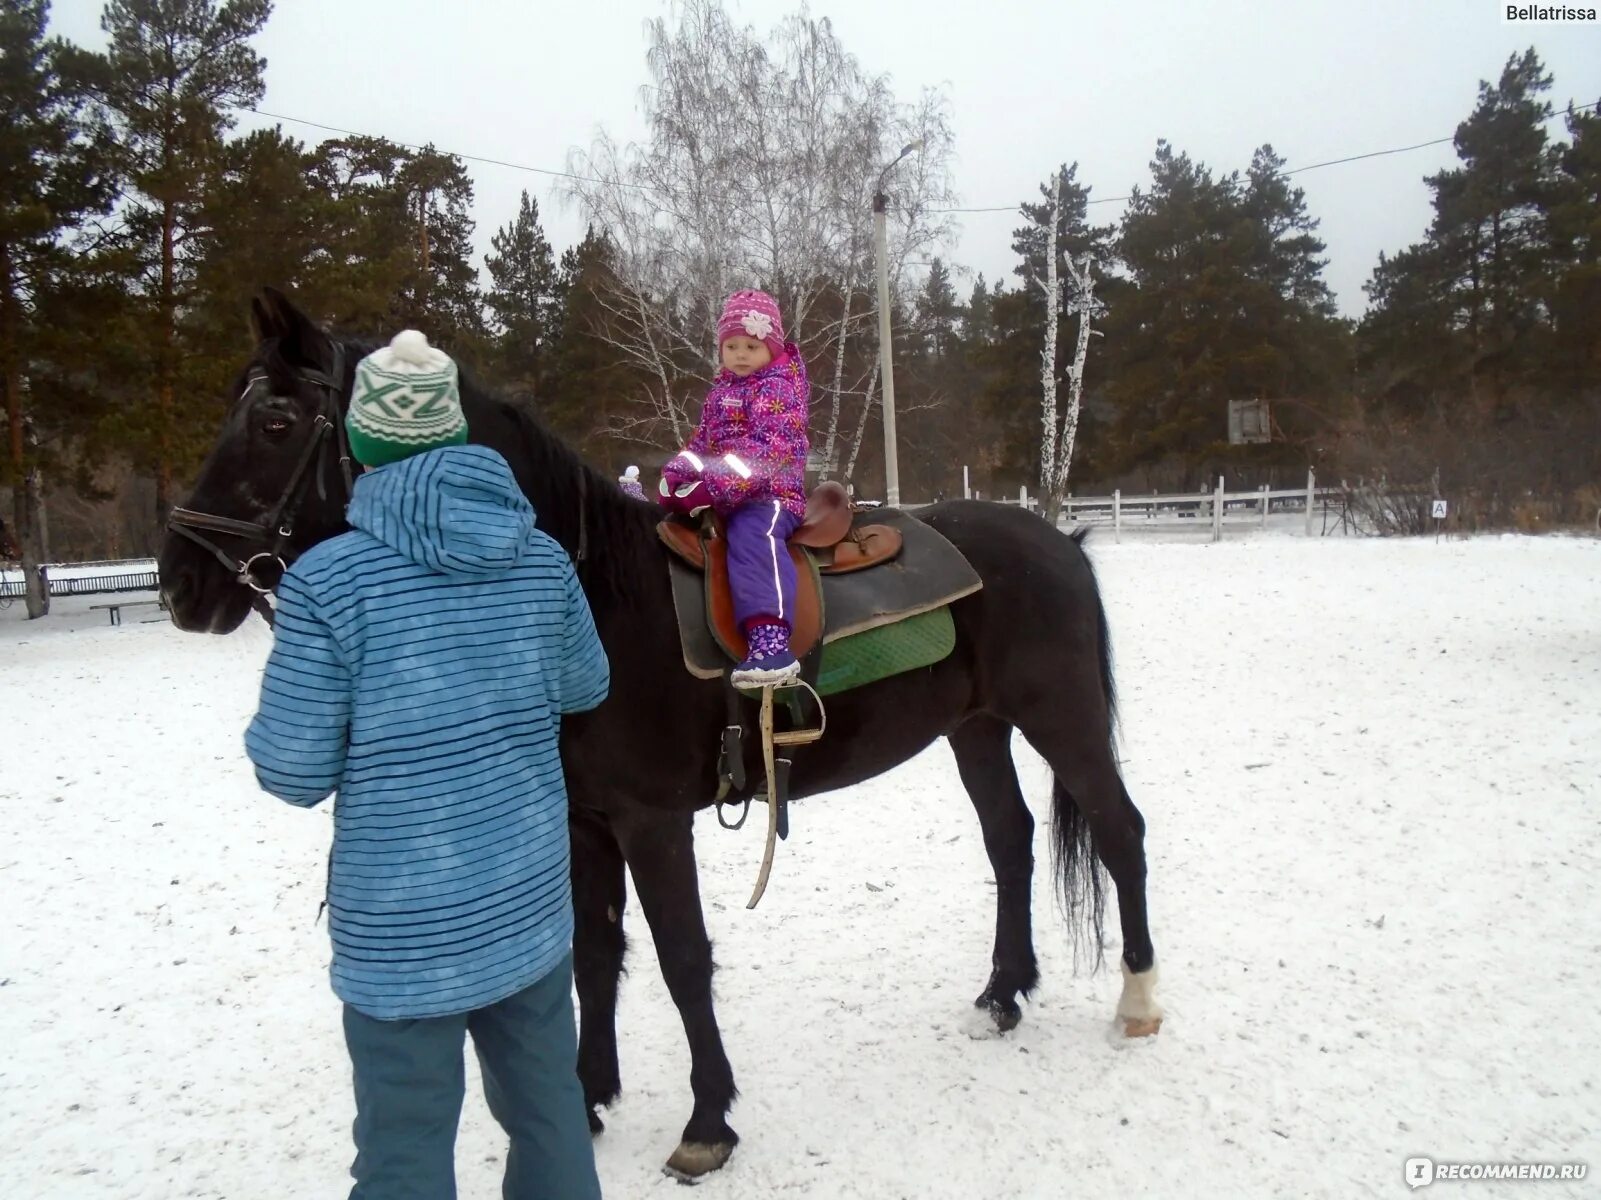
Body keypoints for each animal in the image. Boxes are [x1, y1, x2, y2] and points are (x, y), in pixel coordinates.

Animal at [159, 294, 1165, 1184]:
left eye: (277, 420)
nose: (178, 581)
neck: (595, 592)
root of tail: (1057, 542)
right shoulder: (584, 823)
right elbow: (594, 955)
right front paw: (585, 1097)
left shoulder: (650, 823)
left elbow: (683, 960)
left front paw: (706, 1122)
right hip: (976, 731)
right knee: (1011, 841)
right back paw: (1001, 995)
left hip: (1059, 718)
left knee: (1119, 833)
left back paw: (1137, 1000)